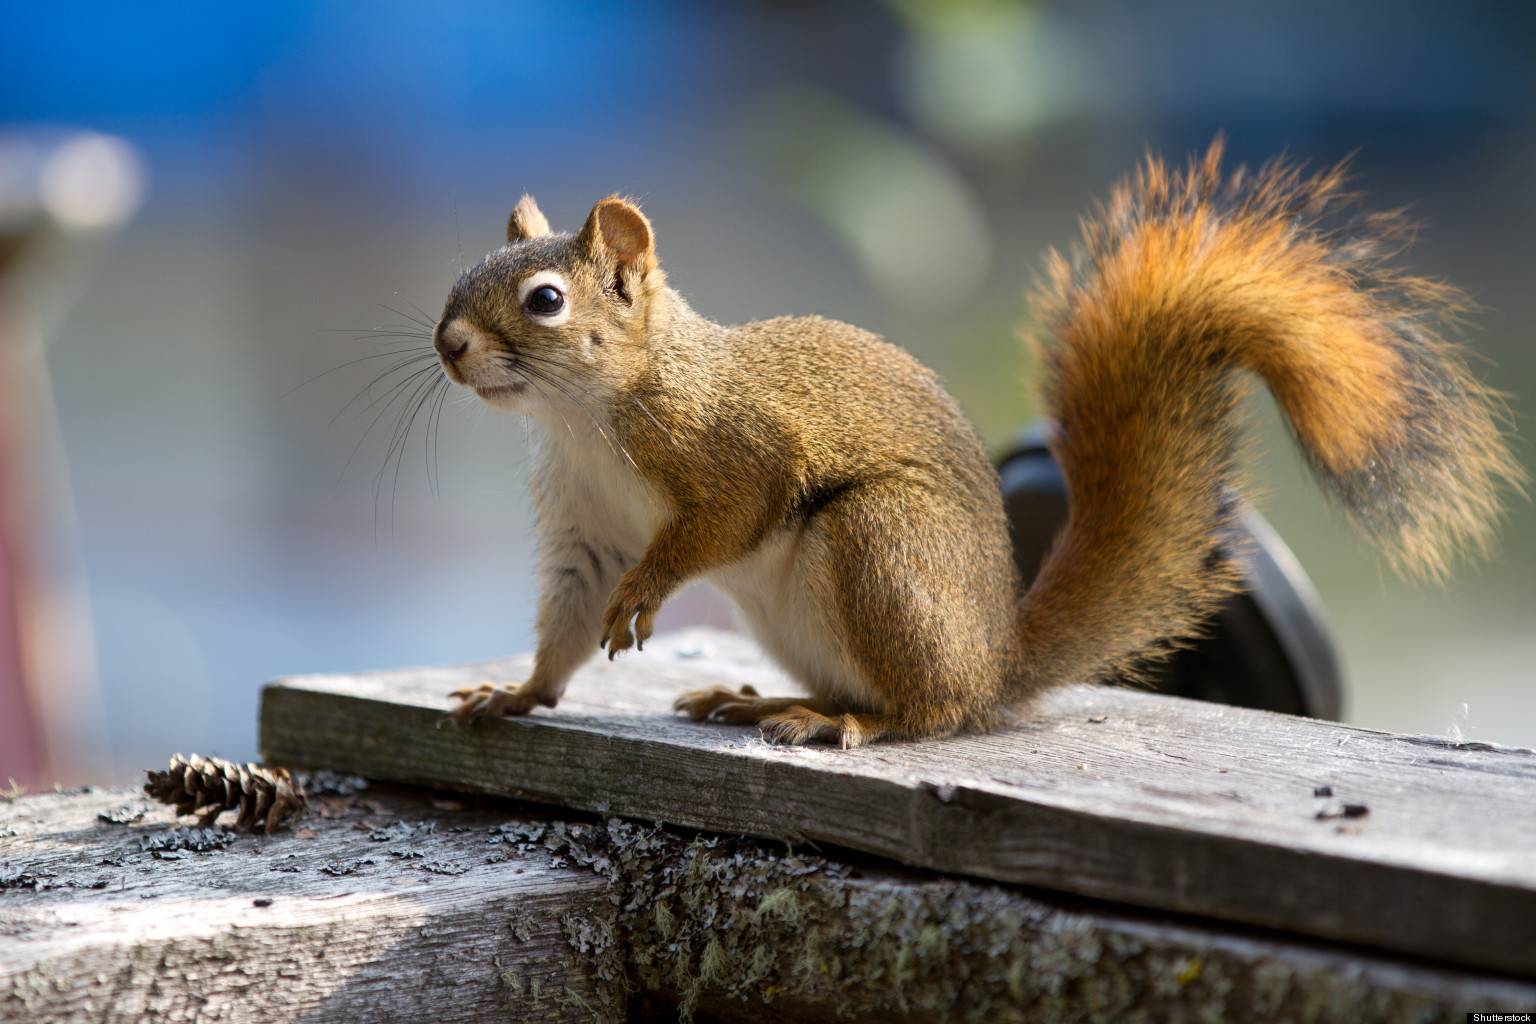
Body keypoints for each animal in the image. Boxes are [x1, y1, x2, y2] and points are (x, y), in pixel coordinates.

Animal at [433, 140, 1523, 749]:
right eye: (464, 276)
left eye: (544, 301)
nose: (446, 346)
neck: (580, 417)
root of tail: (996, 657)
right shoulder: (584, 525)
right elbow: (569, 614)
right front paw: (517, 693)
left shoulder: (730, 445)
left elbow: (722, 520)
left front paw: (649, 592)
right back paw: (754, 700)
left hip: (880, 546)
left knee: (929, 713)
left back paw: (844, 721)